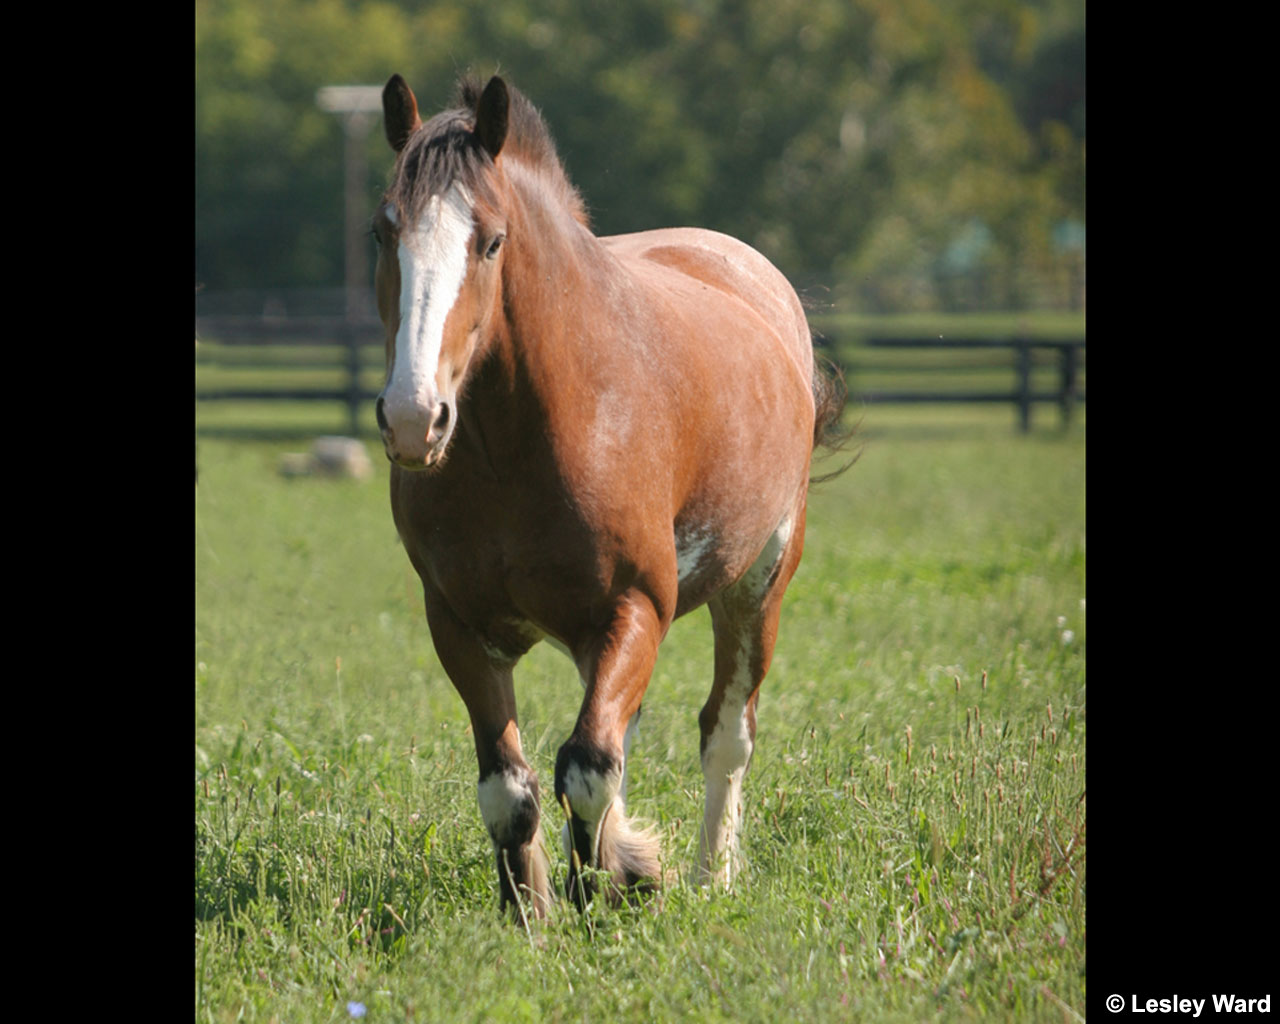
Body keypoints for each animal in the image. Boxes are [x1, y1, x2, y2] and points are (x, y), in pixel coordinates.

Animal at [371, 74, 847, 917]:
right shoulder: (459, 626)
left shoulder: (636, 609)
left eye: (491, 241)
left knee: (725, 732)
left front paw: (604, 892)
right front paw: (527, 914)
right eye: (380, 232)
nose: (412, 417)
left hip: (759, 585)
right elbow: (510, 790)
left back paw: (712, 875)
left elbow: (588, 767)